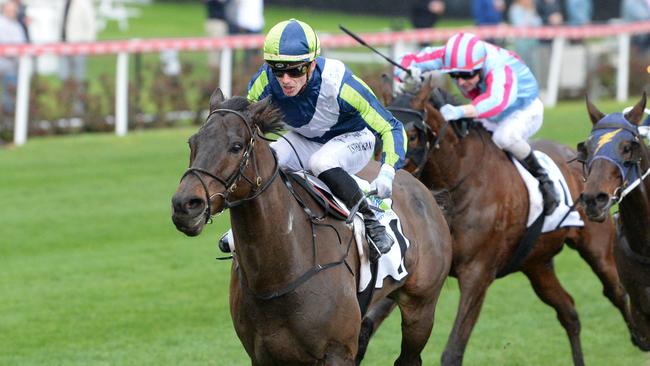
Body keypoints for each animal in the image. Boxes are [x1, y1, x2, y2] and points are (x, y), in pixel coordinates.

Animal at [170, 89, 450, 366]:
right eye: (192, 142)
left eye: (236, 146)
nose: (185, 205)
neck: (278, 275)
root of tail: (420, 186)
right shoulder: (262, 355)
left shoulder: (337, 352)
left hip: (420, 309)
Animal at [380, 81, 632, 366]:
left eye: (412, 135)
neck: (459, 181)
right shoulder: (419, 274)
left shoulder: (477, 274)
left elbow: (453, 351)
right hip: (536, 265)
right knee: (568, 311)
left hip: (598, 250)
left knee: (617, 292)